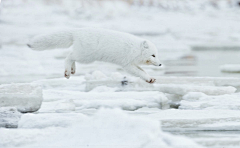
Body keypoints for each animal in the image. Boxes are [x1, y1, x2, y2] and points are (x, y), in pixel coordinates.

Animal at [29, 27, 162, 83]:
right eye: (153, 55)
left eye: (157, 55)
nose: (161, 64)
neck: (135, 49)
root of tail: (77, 31)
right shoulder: (127, 64)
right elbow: (140, 72)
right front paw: (149, 79)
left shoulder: (132, 63)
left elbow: (143, 71)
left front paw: (150, 78)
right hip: (86, 56)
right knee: (68, 57)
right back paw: (67, 73)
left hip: (83, 56)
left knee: (71, 56)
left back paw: (72, 70)